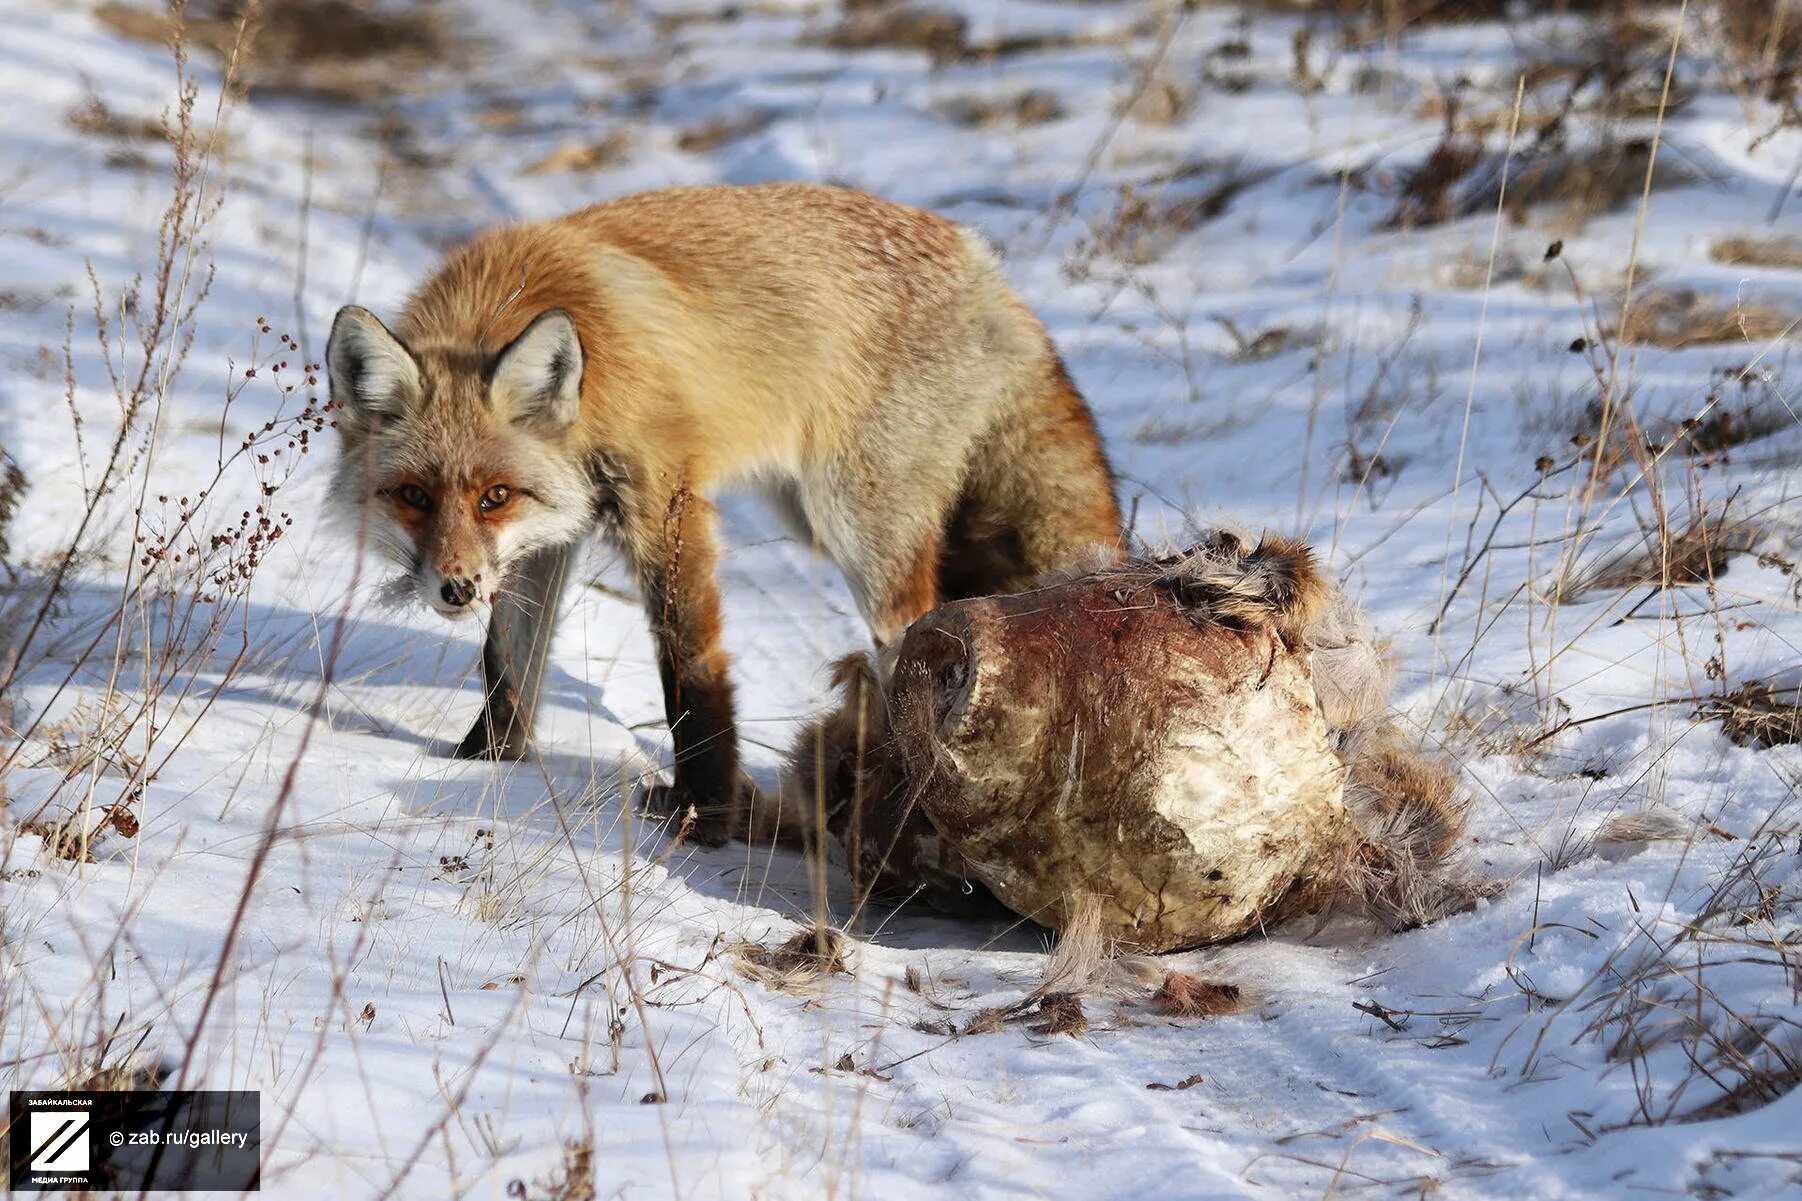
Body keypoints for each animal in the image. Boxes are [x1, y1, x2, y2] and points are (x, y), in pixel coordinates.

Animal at [320, 184, 1110, 840]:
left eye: (493, 495)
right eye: (415, 496)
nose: (454, 589)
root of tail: (980, 258)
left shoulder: (665, 504)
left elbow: (689, 667)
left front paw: (708, 809)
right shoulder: (549, 534)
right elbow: (506, 664)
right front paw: (484, 763)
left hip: (856, 529)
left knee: (917, 628)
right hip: (814, 514)